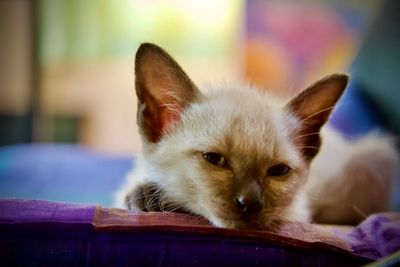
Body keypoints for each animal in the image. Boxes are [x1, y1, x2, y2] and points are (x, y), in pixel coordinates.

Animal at [113, 43, 400, 231]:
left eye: (278, 171)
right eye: (214, 159)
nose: (249, 203)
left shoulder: (297, 214)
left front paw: (154, 199)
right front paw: (147, 198)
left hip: (375, 155)